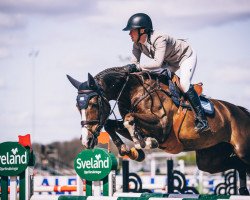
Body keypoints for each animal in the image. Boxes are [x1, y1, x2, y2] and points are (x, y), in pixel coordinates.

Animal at [67, 66, 250, 195]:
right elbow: (111, 124)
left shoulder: (162, 128)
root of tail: (241, 111)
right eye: (77, 106)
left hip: (242, 150)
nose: (86, 140)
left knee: (242, 161)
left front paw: (144, 143)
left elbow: (129, 120)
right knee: (237, 165)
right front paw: (131, 151)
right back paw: (243, 189)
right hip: (210, 159)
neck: (134, 91)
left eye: (93, 104)